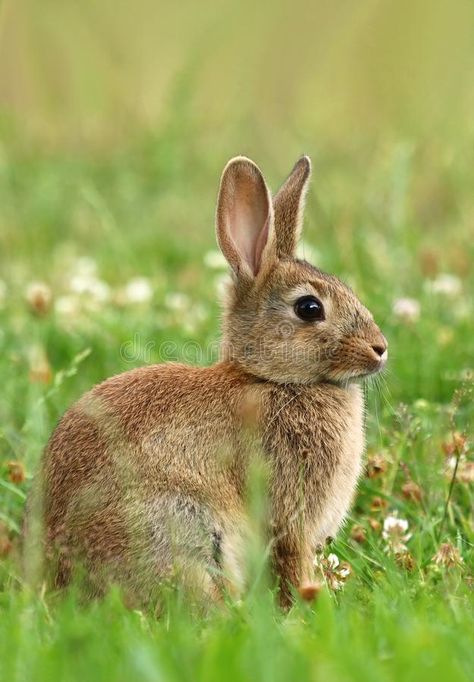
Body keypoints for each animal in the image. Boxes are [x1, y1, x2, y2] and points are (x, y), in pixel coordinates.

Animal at [24, 154, 386, 604]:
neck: (272, 380)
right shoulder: (288, 519)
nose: (380, 348)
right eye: (309, 307)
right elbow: (291, 563)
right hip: (179, 528)